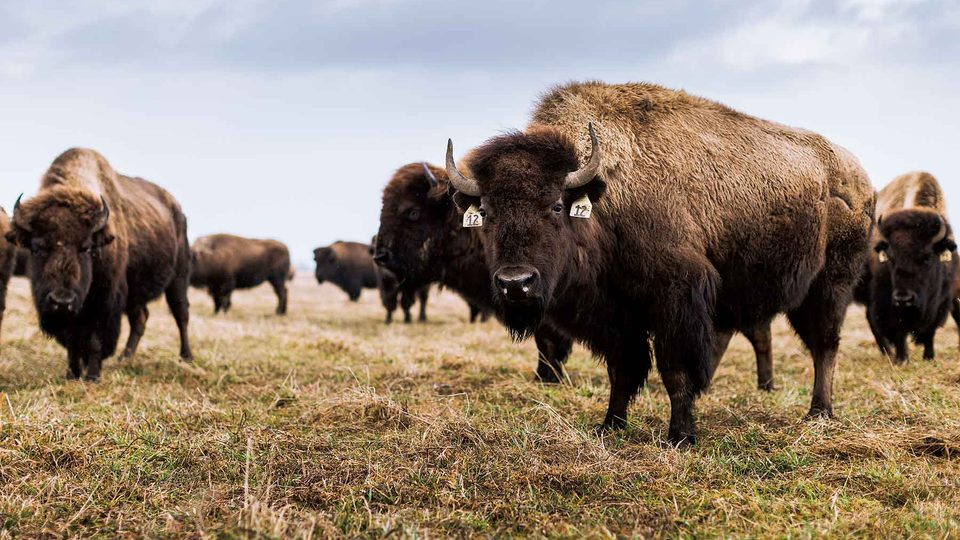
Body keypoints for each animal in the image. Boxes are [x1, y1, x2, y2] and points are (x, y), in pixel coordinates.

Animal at [5, 148, 193, 380]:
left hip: (178, 278)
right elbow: (72, 343)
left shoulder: (104, 302)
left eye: (86, 248)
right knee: (140, 319)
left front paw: (93, 376)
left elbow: (95, 340)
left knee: (181, 314)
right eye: (37, 248)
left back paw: (186, 358)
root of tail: (177, 209)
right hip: (135, 293)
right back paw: (125, 358)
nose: (61, 301)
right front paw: (72, 373)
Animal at [445, 81, 874, 444]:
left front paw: (680, 437)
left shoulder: (677, 301)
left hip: (828, 287)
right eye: (486, 212)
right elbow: (622, 370)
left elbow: (674, 371)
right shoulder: (615, 317)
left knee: (825, 346)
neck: (605, 198)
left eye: (554, 205)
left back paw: (819, 412)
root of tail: (858, 177)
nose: (515, 283)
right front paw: (610, 426)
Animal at [856, 172, 959, 363]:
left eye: (926, 257)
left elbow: (930, 331)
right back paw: (889, 353)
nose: (904, 299)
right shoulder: (886, 301)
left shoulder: (940, 301)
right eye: (891, 257)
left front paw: (929, 356)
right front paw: (901, 358)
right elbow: (899, 330)